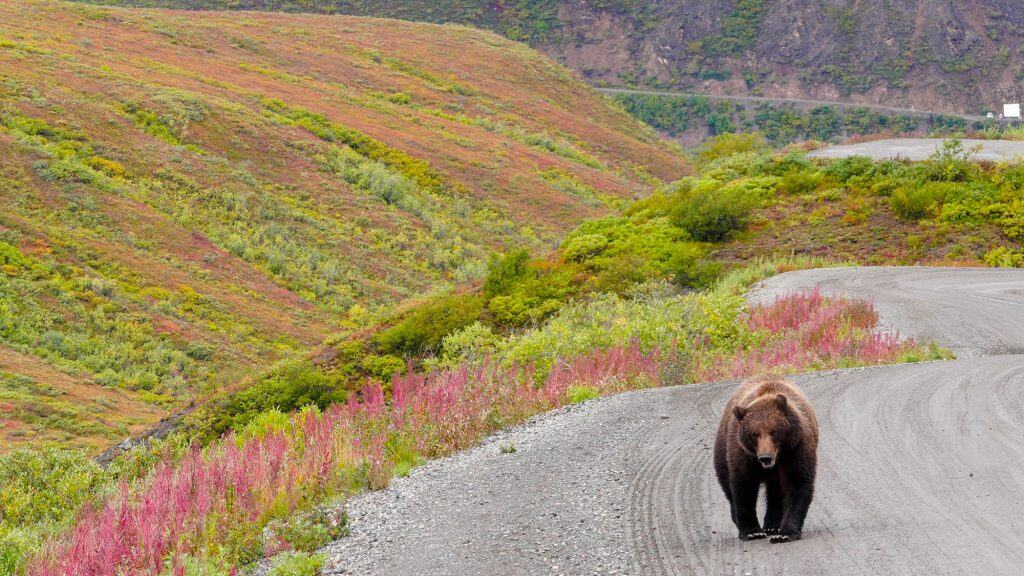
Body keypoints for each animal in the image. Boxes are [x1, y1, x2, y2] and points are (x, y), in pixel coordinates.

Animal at [713, 376, 818, 543]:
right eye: (754, 433)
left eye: (773, 431)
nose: (765, 458)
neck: (779, 456)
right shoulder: (744, 454)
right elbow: (744, 487)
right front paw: (752, 532)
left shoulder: (797, 449)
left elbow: (797, 482)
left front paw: (785, 533)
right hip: (722, 450)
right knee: (726, 484)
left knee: (775, 492)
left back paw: (772, 526)